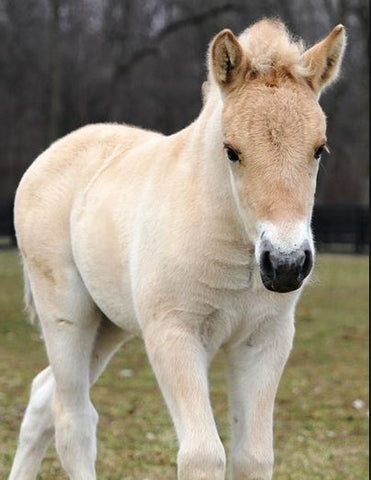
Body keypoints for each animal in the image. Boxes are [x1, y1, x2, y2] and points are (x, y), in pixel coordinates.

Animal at [8, 18, 346, 480]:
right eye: (232, 151)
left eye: (319, 149)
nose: (285, 264)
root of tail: (52, 154)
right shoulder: (174, 334)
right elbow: (202, 454)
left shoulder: (264, 341)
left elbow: (253, 457)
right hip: (67, 314)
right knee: (73, 420)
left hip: (109, 322)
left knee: (44, 397)